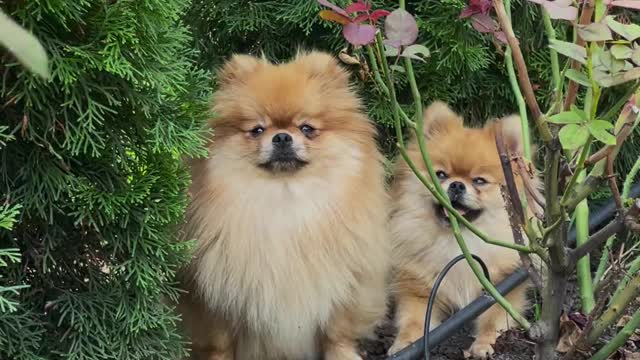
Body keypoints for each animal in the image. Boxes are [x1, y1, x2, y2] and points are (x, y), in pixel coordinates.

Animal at [178, 51, 392, 360]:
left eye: (307, 128)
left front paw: (342, 354)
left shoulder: (347, 280)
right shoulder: (211, 294)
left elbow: (336, 332)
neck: (283, 200)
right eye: (257, 130)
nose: (281, 137)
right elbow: (220, 341)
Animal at [388, 102, 536, 360]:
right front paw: (404, 344)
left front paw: (483, 344)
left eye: (479, 181)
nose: (456, 185)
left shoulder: (503, 286)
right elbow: (414, 321)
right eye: (440, 175)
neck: (460, 242)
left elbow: (493, 319)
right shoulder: (418, 290)